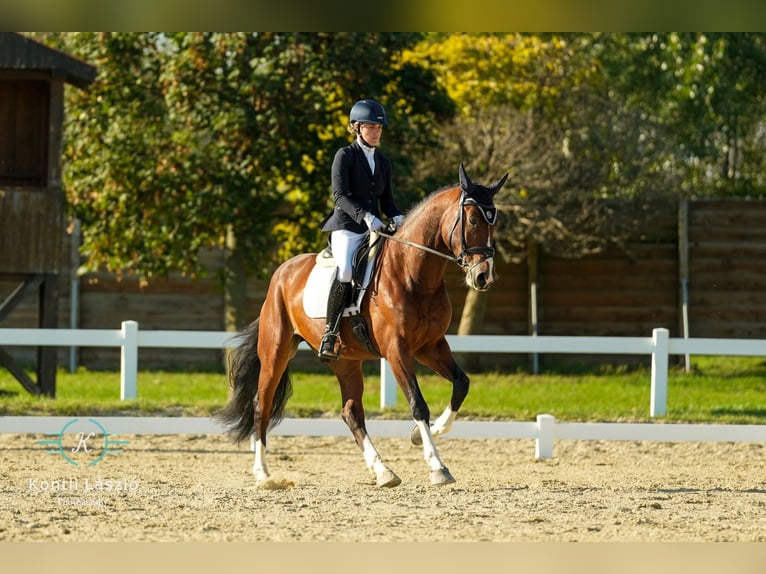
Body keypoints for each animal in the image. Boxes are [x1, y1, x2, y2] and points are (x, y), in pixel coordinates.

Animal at [216, 163, 508, 487]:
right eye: (472, 219)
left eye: (494, 222)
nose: (483, 277)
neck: (413, 274)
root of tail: (282, 272)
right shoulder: (397, 351)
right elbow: (417, 403)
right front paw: (437, 465)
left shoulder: (430, 346)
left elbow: (461, 384)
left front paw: (420, 435)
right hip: (276, 351)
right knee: (262, 404)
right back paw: (263, 474)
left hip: (345, 360)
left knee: (351, 412)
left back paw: (382, 471)